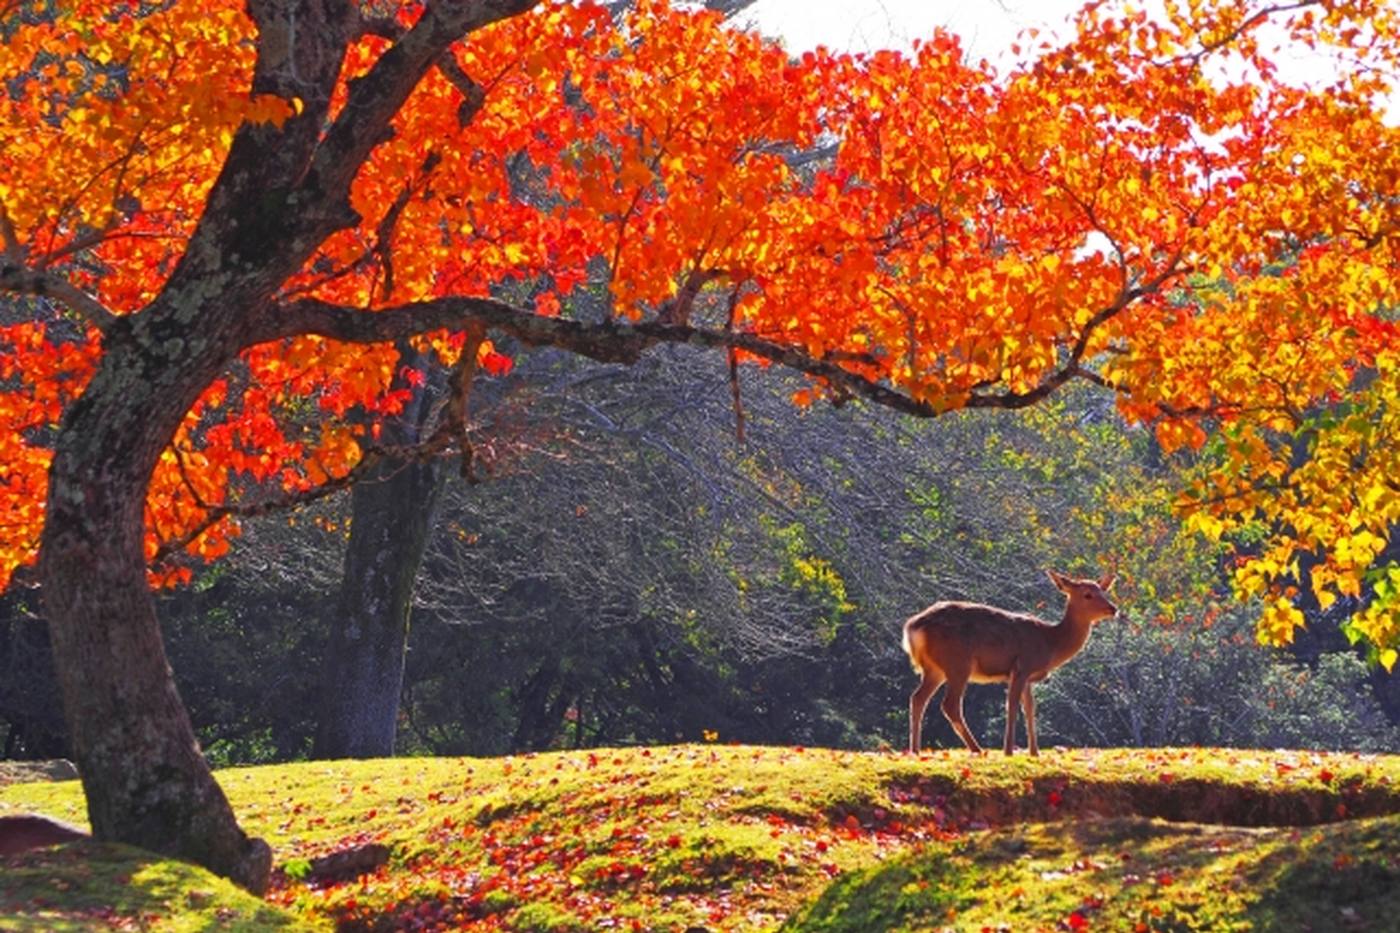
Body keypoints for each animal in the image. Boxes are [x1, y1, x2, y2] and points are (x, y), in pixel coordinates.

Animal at [901, 565, 1120, 756]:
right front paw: (1008, 751)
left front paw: (1035, 752)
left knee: (917, 698)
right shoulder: (1021, 666)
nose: (1113, 608)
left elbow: (1030, 709)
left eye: (1104, 591)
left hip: (935, 669)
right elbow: (1012, 706)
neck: (1050, 643)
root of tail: (912, 627)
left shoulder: (1028, 677)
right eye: (1087, 594)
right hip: (958, 662)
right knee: (950, 704)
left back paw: (915, 750)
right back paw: (977, 749)